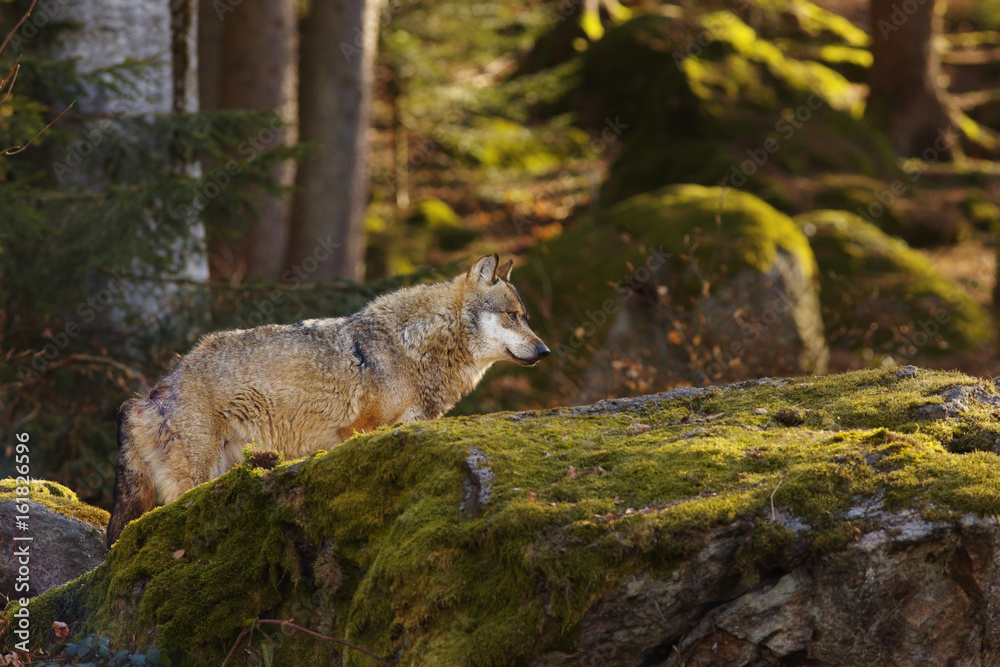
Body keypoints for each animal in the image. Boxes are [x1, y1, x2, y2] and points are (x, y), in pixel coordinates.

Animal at [106, 255, 549, 546]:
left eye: (524, 317)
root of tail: (149, 394)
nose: (545, 351)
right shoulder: (362, 430)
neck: (415, 346)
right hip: (195, 477)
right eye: (512, 316)